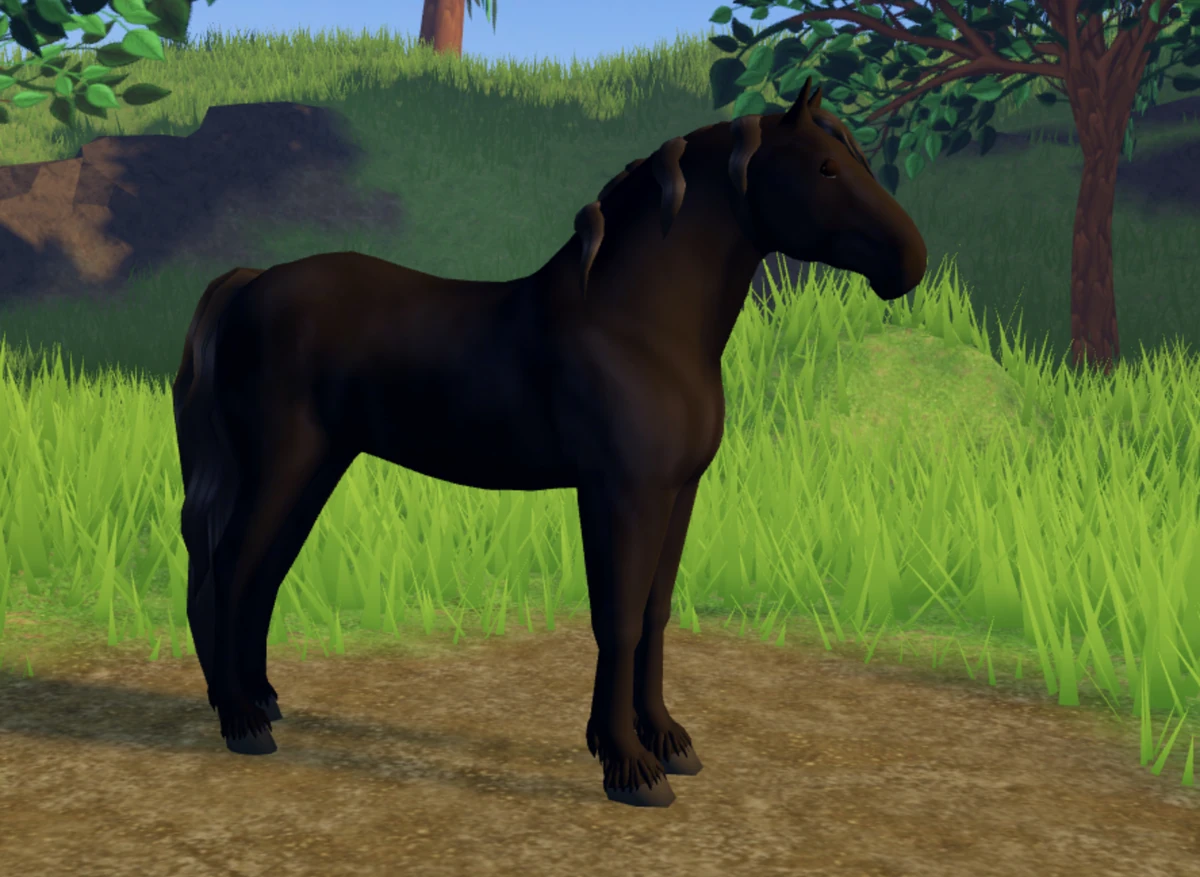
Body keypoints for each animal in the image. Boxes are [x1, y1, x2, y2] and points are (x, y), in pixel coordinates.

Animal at [172, 80, 927, 808]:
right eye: (825, 168)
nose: (912, 261)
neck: (636, 326)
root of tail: (249, 283)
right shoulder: (619, 494)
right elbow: (617, 619)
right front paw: (628, 766)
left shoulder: (678, 493)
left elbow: (655, 612)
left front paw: (669, 741)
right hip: (281, 465)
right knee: (230, 571)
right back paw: (243, 722)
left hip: (317, 468)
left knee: (263, 574)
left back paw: (263, 699)